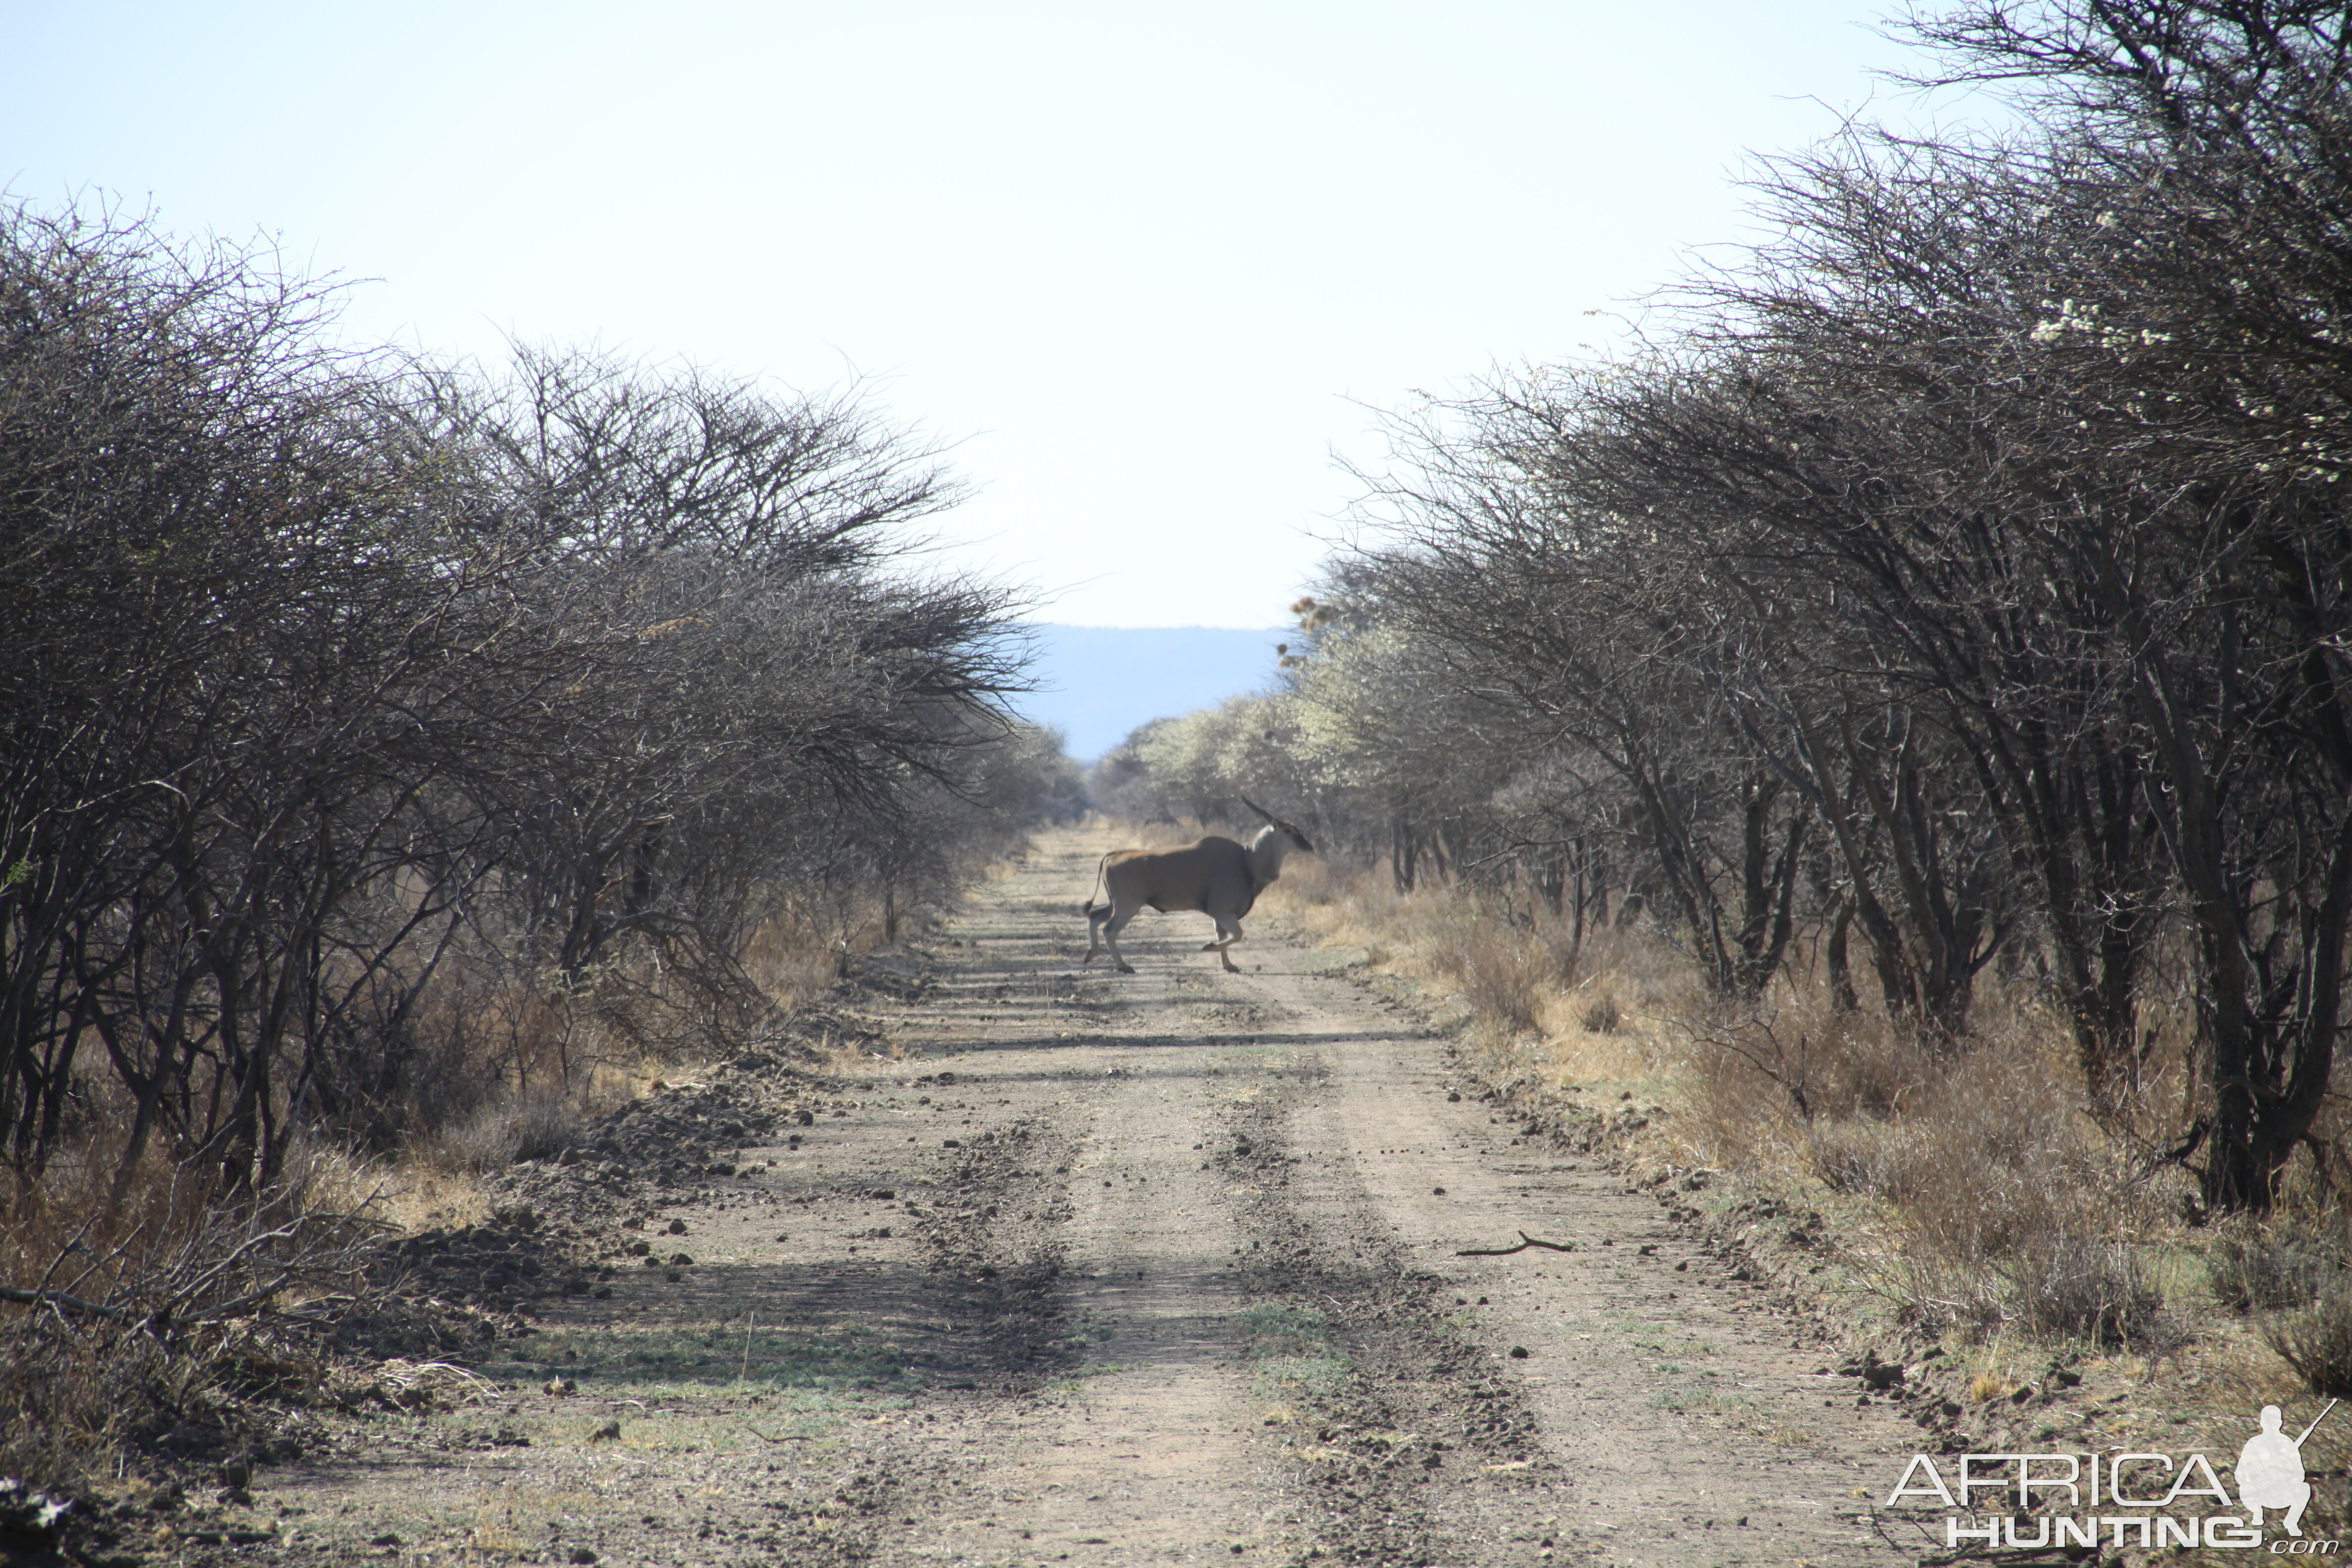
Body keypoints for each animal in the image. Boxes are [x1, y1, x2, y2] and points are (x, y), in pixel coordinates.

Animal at [1086, 804, 1326, 973]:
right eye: (1287, 831)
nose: (1308, 846)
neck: (1247, 860)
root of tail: (1112, 856)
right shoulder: (1223, 911)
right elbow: (1236, 935)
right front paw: (1209, 947)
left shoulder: (1221, 915)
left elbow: (1224, 935)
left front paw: (1229, 965)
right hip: (1128, 906)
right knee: (1109, 930)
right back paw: (1123, 966)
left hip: (1116, 905)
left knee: (1095, 916)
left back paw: (1091, 954)